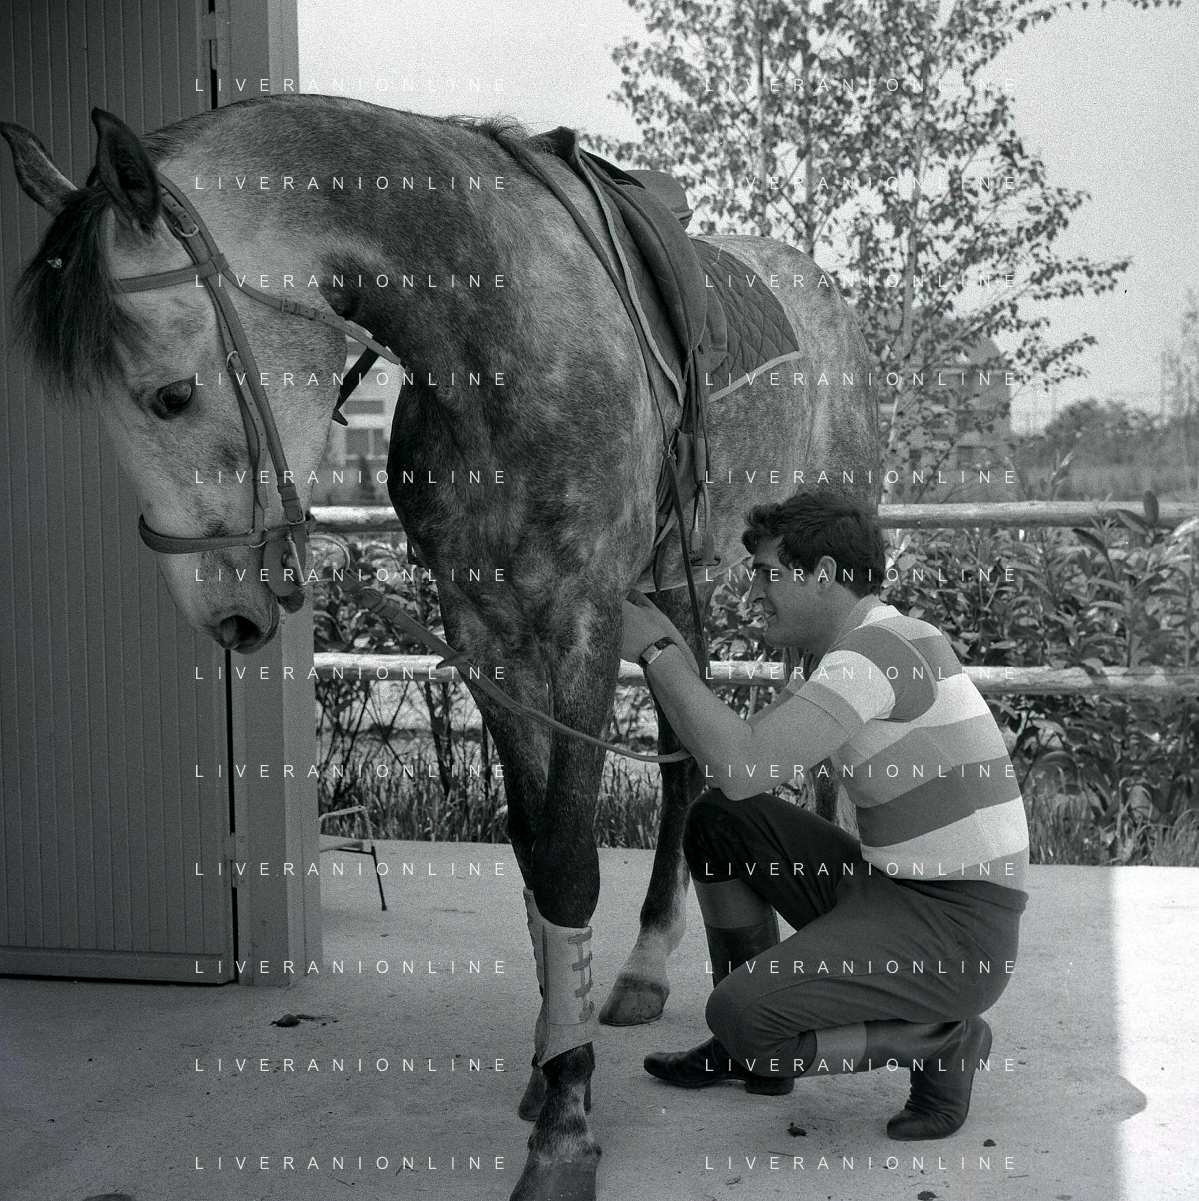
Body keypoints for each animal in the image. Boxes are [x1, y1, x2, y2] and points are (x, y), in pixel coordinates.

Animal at [2, 94, 880, 1201]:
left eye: (171, 394)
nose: (230, 614)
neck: (499, 333)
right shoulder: (484, 634)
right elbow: (530, 853)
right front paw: (551, 1062)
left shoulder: (581, 620)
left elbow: (567, 861)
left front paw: (565, 1135)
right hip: (677, 583)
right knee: (690, 753)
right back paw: (644, 968)